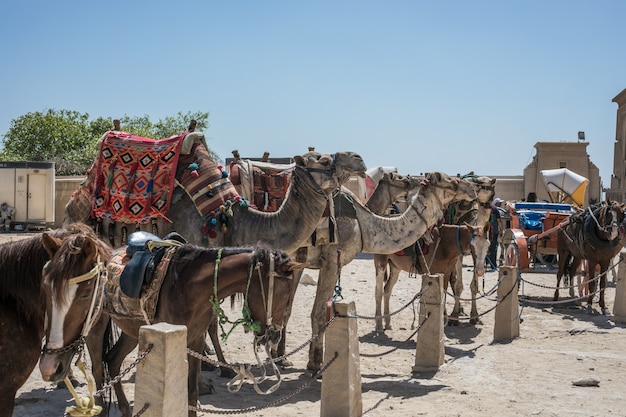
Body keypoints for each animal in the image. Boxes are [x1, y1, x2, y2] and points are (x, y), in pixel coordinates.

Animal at [86, 244, 304, 416]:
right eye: (285, 295)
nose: (274, 337)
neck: (188, 287)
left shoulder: (196, 340)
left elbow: (191, 392)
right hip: (97, 326)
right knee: (98, 368)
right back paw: (101, 410)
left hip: (133, 330)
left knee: (113, 360)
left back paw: (124, 409)